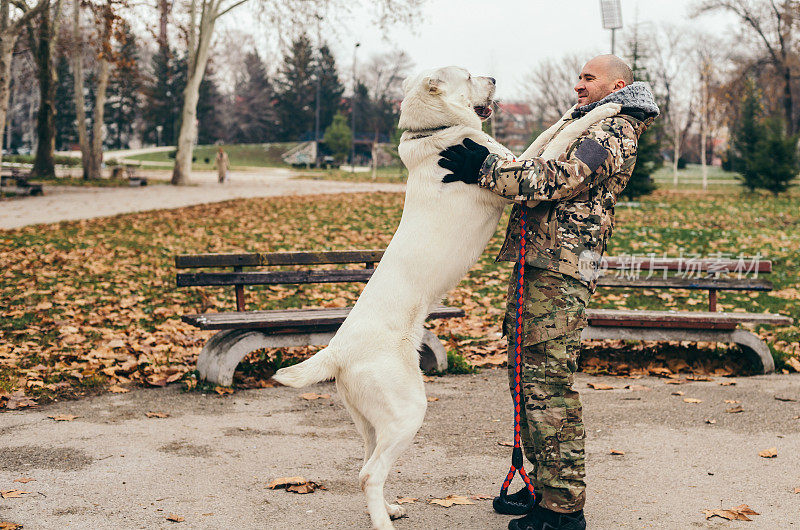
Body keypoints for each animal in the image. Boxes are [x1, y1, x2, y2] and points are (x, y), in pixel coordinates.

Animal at [276, 67, 624, 528]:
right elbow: (558, 141)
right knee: (370, 473)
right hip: (407, 410)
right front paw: (609, 107)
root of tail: (337, 352)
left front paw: (581, 107)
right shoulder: (511, 173)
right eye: (470, 75)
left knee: (365, 463)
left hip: (369, 419)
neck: (434, 131)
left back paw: (389, 507)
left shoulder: (513, 160)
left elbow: (550, 131)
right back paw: (384, 522)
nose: (493, 77)